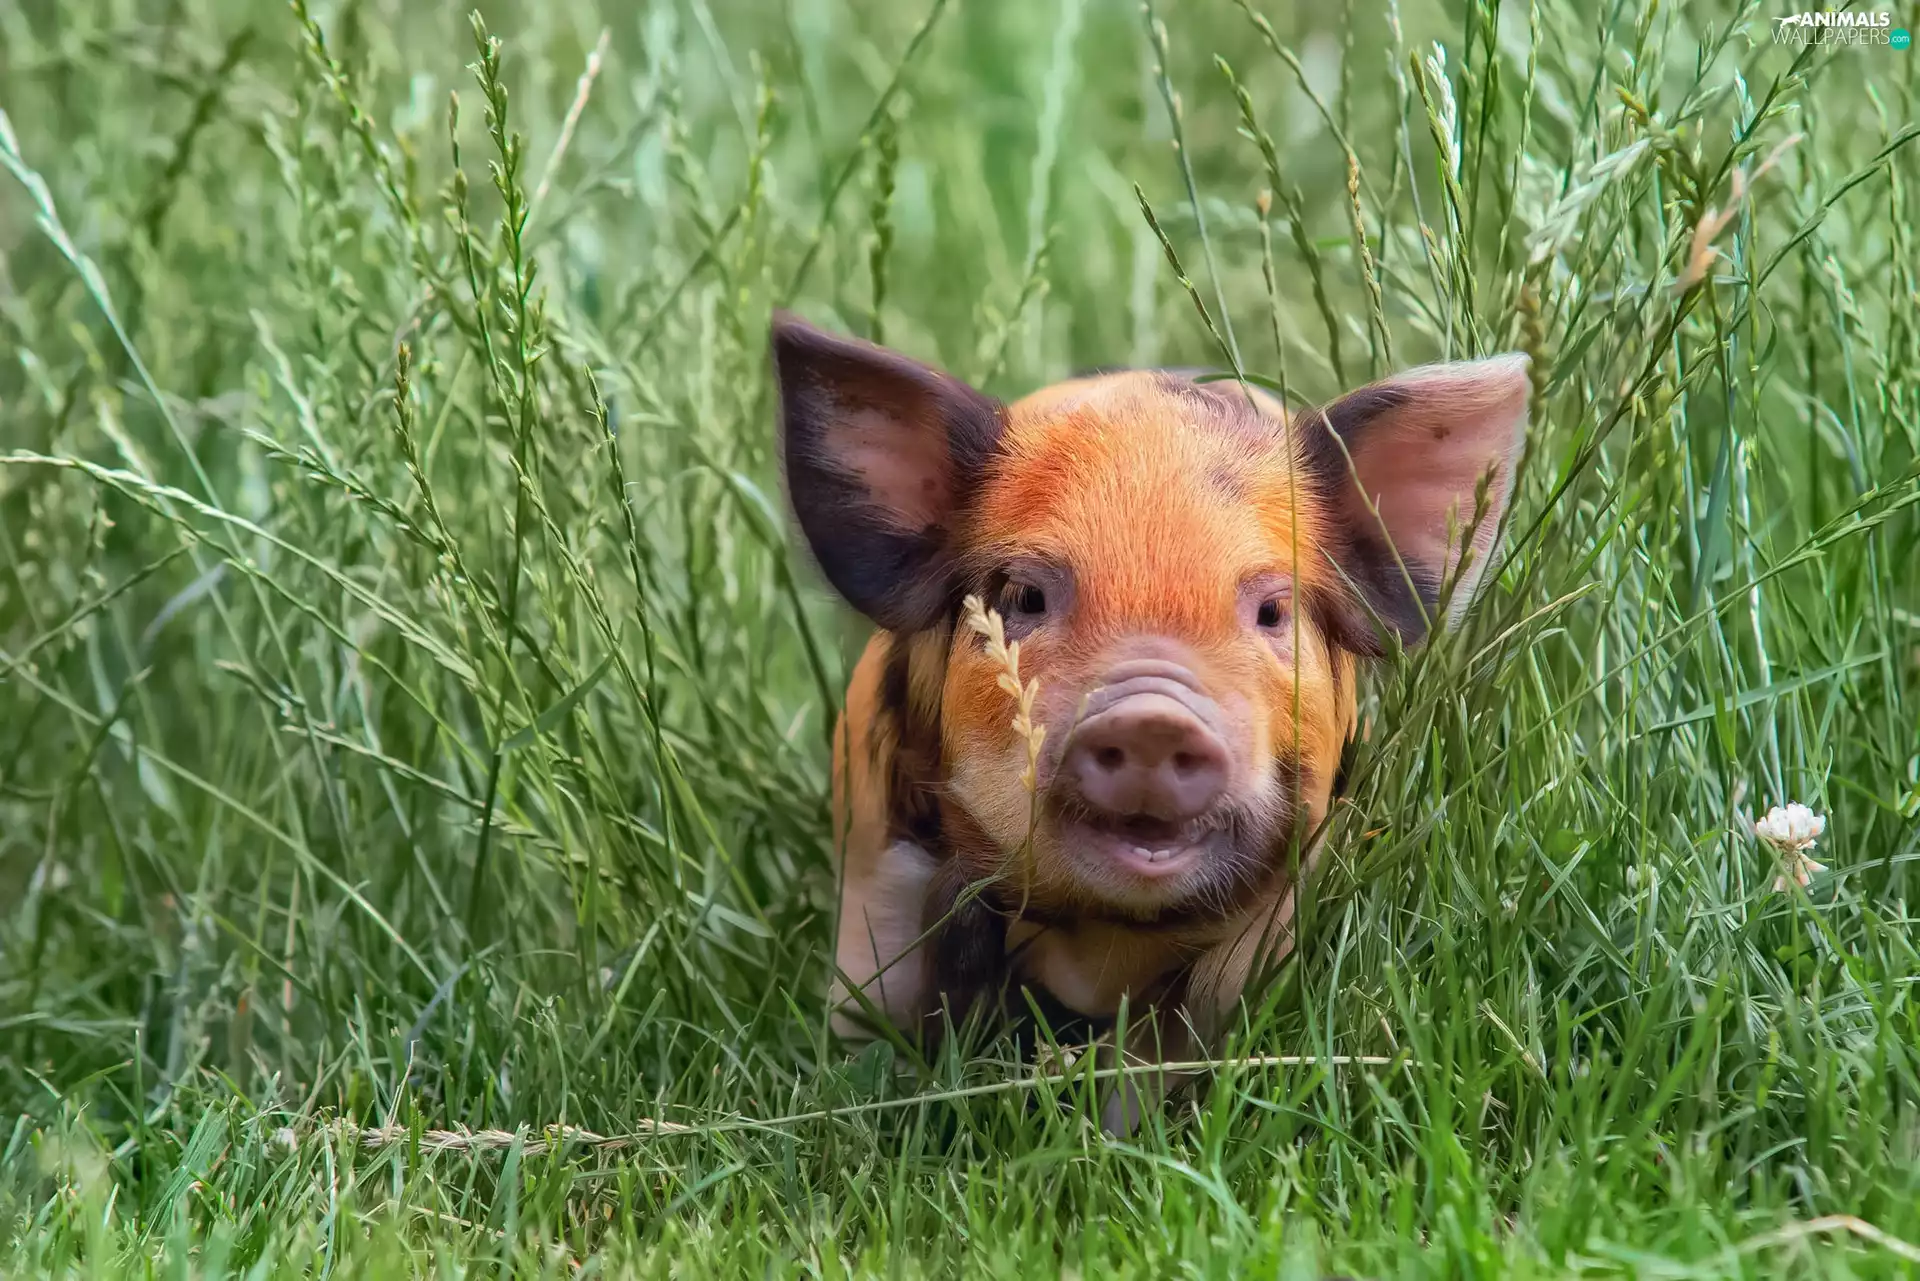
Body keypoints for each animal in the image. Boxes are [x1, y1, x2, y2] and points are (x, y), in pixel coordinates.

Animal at [770, 311, 1529, 1131]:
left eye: (1274, 610)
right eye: (1023, 597)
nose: (1152, 718)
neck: (1101, 942)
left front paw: (1115, 1130)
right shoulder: (877, 862)